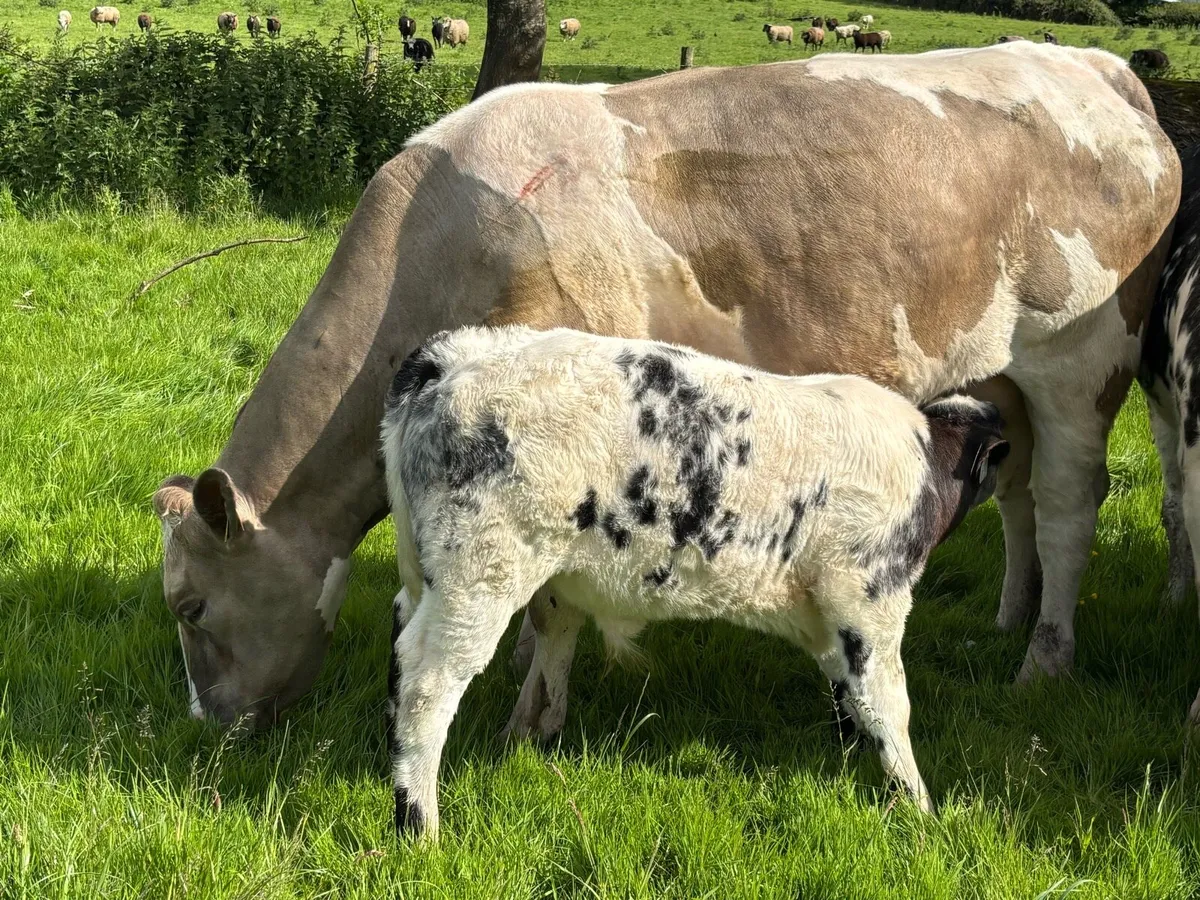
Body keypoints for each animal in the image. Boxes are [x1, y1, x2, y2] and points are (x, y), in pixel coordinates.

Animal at [154, 44, 1180, 727]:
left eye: (191, 608)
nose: (209, 724)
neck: (447, 241)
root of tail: (1096, 65)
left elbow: (552, 603)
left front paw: (531, 699)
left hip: (1082, 354)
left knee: (1067, 502)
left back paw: (1044, 660)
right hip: (1001, 368)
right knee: (1017, 490)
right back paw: (1008, 619)